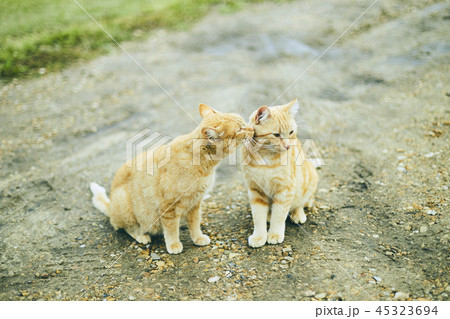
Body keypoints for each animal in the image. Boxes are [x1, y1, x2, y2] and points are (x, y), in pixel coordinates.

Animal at [90, 105, 253, 255]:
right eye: (240, 129)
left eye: (244, 122)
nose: (251, 129)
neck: (202, 162)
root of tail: (111, 205)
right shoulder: (168, 206)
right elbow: (171, 229)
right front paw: (174, 245)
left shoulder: (195, 202)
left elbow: (195, 223)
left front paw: (197, 237)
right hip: (125, 205)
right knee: (125, 227)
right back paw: (142, 235)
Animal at [241, 99, 318, 248]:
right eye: (276, 135)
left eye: (291, 132)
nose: (288, 146)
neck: (265, 156)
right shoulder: (255, 190)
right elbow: (258, 215)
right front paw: (259, 236)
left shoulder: (285, 190)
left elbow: (279, 215)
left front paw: (275, 234)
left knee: (301, 203)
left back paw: (297, 214)